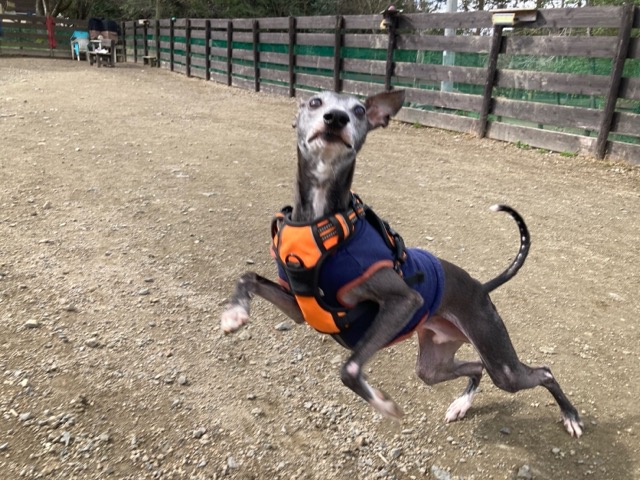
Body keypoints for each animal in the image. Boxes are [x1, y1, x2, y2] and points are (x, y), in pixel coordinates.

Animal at [220, 90, 583, 437]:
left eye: (359, 110)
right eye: (314, 102)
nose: (335, 119)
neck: (322, 223)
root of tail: (481, 288)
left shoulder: (404, 301)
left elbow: (350, 368)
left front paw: (384, 404)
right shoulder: (300, 308)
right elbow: (248, 277)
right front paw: (234, 314)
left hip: (500, 363)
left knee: (543, 372)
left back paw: (571, 416)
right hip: (434, 363)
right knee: (474, 368)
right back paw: (461, 405)